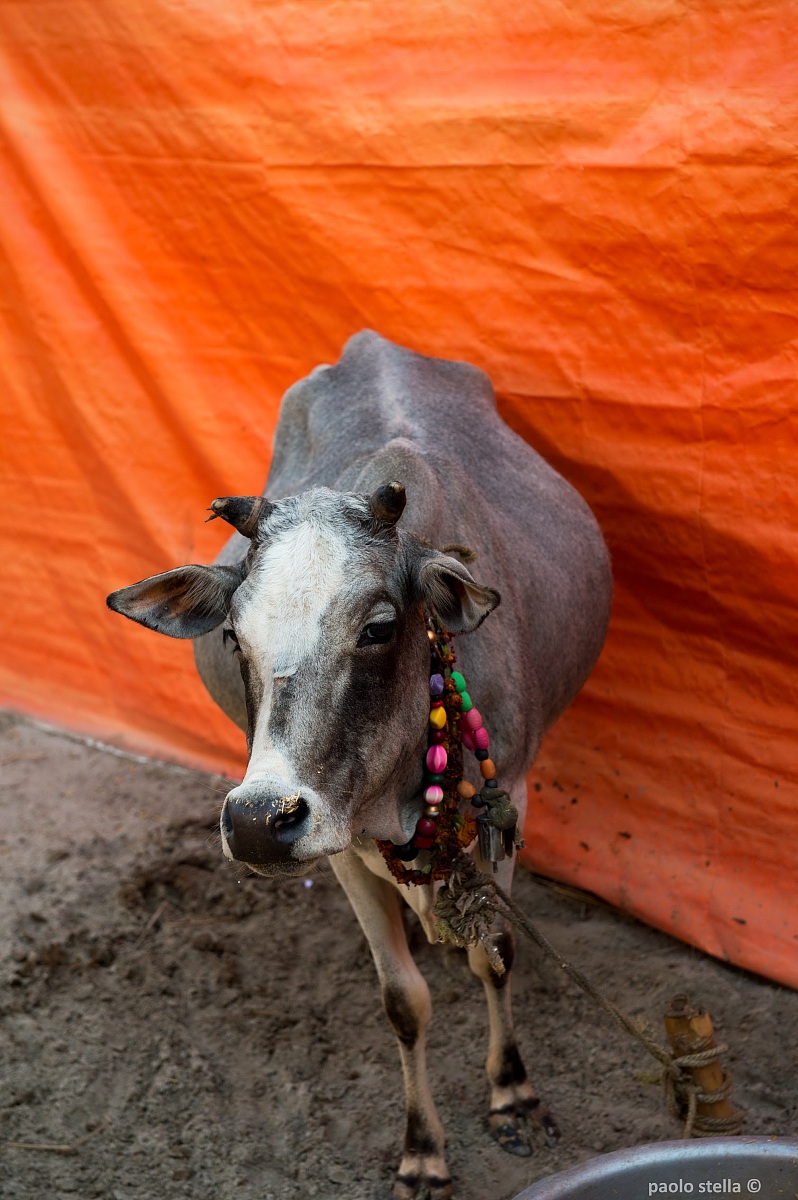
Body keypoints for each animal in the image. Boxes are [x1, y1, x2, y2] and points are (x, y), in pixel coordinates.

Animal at [107, 331, 612, 1200]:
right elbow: (403, 1000)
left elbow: (494, 953)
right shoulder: (340, 841)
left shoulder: (505, 800)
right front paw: (423, 1151)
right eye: (233, 635)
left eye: (378, 626)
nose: (257, 822)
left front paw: (513, 1094)